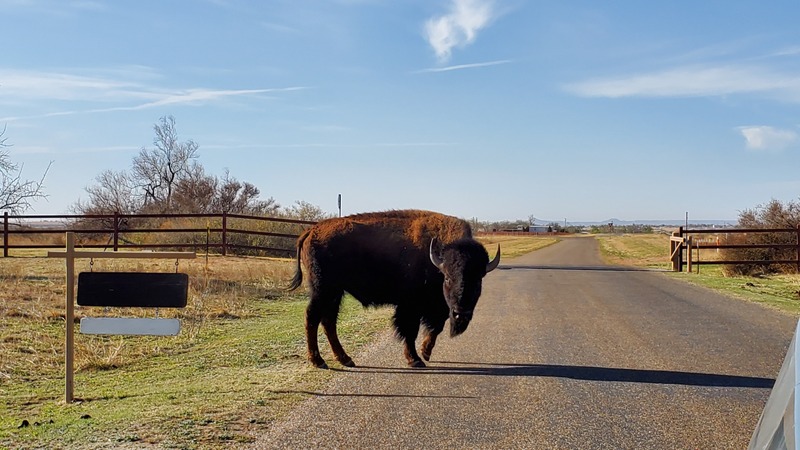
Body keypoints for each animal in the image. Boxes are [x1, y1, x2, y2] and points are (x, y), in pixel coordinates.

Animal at [288, 209, 500, 368]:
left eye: (479, 280)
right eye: (447, 278)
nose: (461, 313)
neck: (436, 260)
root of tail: (311, 231)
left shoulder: (437, 309)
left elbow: (435, 328)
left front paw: (425, 352)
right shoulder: (411, 306)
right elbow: (410, 331)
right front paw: (415, 359)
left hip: (335, 293)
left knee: (328, 321)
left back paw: (345, 359)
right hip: (323, 290)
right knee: (312, 317)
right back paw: (318, 361)